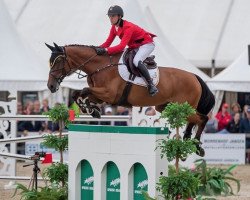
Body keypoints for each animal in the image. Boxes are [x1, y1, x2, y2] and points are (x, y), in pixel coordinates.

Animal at [46, 43, 215, 157]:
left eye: (58, 61)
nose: (51, 86)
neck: (100, 66)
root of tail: (194, 77)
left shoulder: (109, 94)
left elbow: (84, 91)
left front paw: (90, 109)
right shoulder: (101, 94)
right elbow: (78, 94)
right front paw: (92, 110)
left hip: (183, 106)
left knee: (203, 118)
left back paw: (197, 146)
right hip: (167, 107)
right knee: (193, 120)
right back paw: (188, 140)